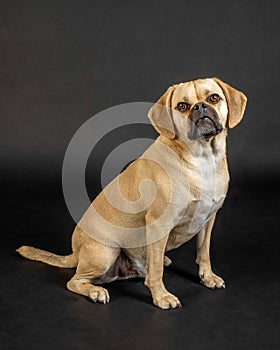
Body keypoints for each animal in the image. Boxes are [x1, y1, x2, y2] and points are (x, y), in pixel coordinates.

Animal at [17, 78, 247, 310]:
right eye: (182, 106)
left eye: (214, 98)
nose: (200, 107)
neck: (202, 159)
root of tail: (75, 254)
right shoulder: (159, 224)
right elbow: (156, 270)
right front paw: (161, 296)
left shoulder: (208, 220)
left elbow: (203, 252)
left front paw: (207, 277)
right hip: (106, 252)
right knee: (75, 281)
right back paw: (95, 291)